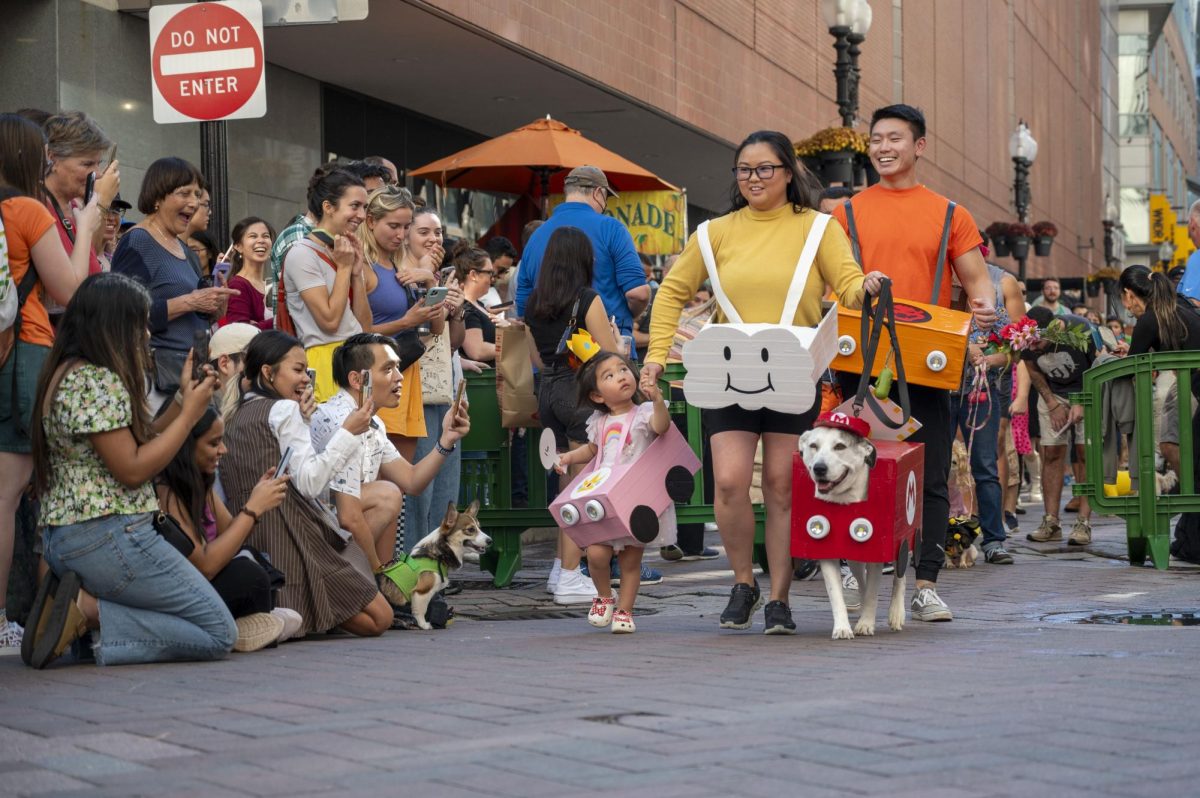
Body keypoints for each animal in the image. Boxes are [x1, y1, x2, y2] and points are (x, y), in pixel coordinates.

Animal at [801, 412, 902, 638]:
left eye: (840, 446)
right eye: (813, 446)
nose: (820, 468)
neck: (844, 501)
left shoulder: (878, 549)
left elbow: (874, 591)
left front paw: (866, 623)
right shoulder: (827, 548)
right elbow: (835, 594)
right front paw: (842, 627)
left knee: (901, 574)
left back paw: (896, 613)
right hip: (855, 557)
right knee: (861, 580)